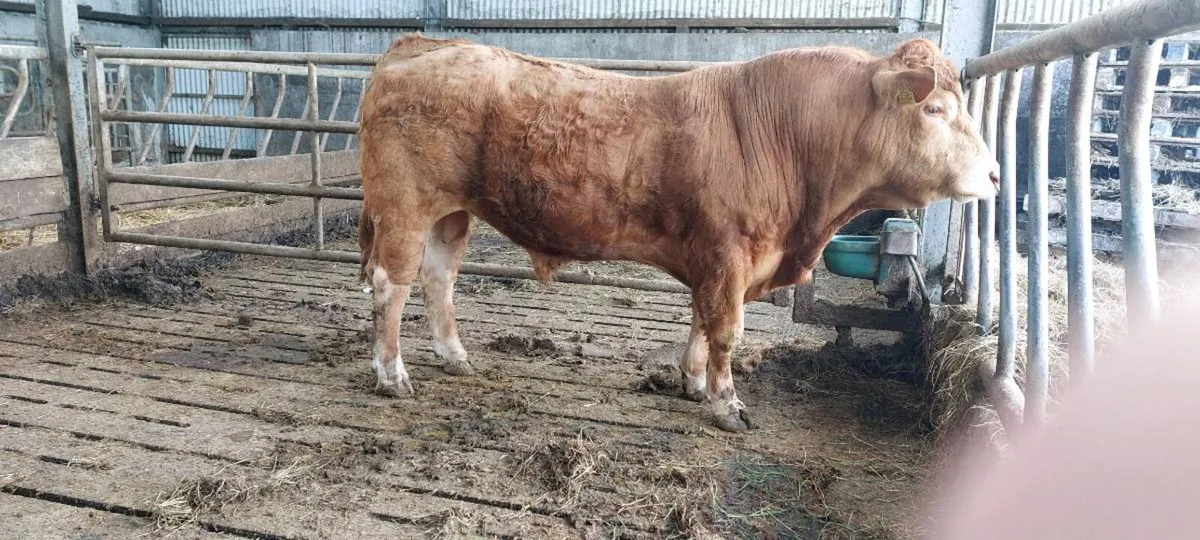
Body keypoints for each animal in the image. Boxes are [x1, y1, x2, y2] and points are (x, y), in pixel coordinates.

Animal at [357, 33, 999, 432]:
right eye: (935, 110)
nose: (994, 174)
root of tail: (418, 46)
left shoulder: (712, 257)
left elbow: (700, 319)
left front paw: (693, 382)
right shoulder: (728, 251)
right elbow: (726, 331)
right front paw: (727, 403)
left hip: (451, 215)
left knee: (439, 280)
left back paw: (454, 356)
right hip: (405, 207)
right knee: (391, 285)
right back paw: (392, 374)